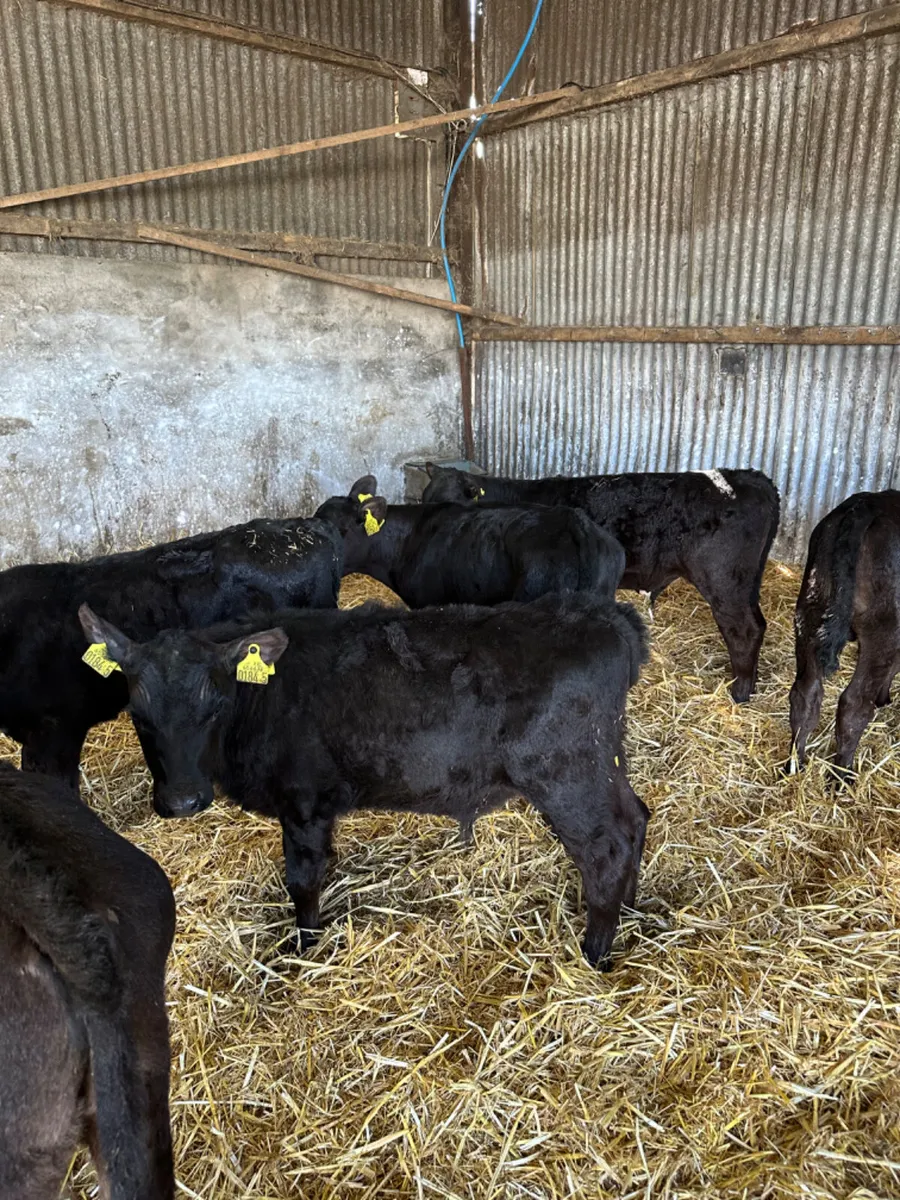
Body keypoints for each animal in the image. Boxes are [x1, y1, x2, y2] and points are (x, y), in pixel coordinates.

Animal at [78, 592, 650, 971]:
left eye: (214, 705)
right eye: (137, 713)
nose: (183, 800)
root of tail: (604, 615)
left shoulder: (303, 801)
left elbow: (303, 878)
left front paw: (304, 949)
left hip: (565, 774)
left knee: (608, 847)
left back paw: (595, 953)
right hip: (602, 762)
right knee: (637, 818)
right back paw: (629, 908)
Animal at [421, 463, 781, 702]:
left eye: (452, 502)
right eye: (424, 498)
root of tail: (747, 476)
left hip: (724, 581)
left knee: (744, 630)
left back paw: (739, 691)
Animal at [788, 490, 900, 775]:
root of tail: (867, 505)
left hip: (810, 610)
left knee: (805, 694)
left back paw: (795, 764)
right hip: (883, 630)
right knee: (854, 704)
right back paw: (842, 774)